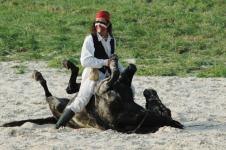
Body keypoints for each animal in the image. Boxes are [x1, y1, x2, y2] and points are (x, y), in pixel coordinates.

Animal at [0, 55, 184, 133]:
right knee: (71, 87)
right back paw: (68, 65)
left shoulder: (103, 89)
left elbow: (116, 74)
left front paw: (114, 65)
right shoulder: (106, 87)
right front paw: (115, 64)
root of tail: (53, 117)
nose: (150, 91)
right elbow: (123, 73)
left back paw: (39, 76)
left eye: (160, 105)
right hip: (74, 94)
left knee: (50, 93)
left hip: (57, 103)